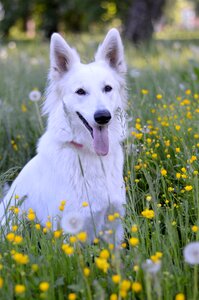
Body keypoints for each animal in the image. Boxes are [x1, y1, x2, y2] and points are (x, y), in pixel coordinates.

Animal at [0, 27, 126, 244]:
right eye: (81, 91)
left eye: (107, 88)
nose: (103, 117)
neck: (91, 155)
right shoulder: (69, 233)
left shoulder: (115, 227)